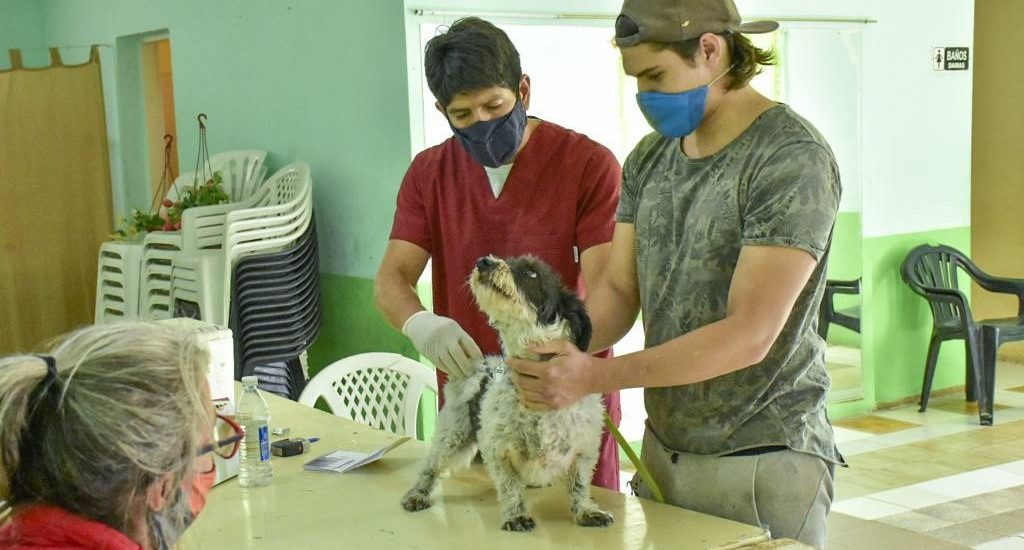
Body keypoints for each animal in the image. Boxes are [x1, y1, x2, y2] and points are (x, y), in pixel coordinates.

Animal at [399, 254, 610, 532]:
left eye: (532, 273)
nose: (484, 261)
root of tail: (479, 365)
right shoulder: (498, 450)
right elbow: (510, 487)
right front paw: (516, 515)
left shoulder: (583, 451)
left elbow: (580, 485)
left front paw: (586, 510)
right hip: (453, 434)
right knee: (431, 466)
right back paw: (417, 494)